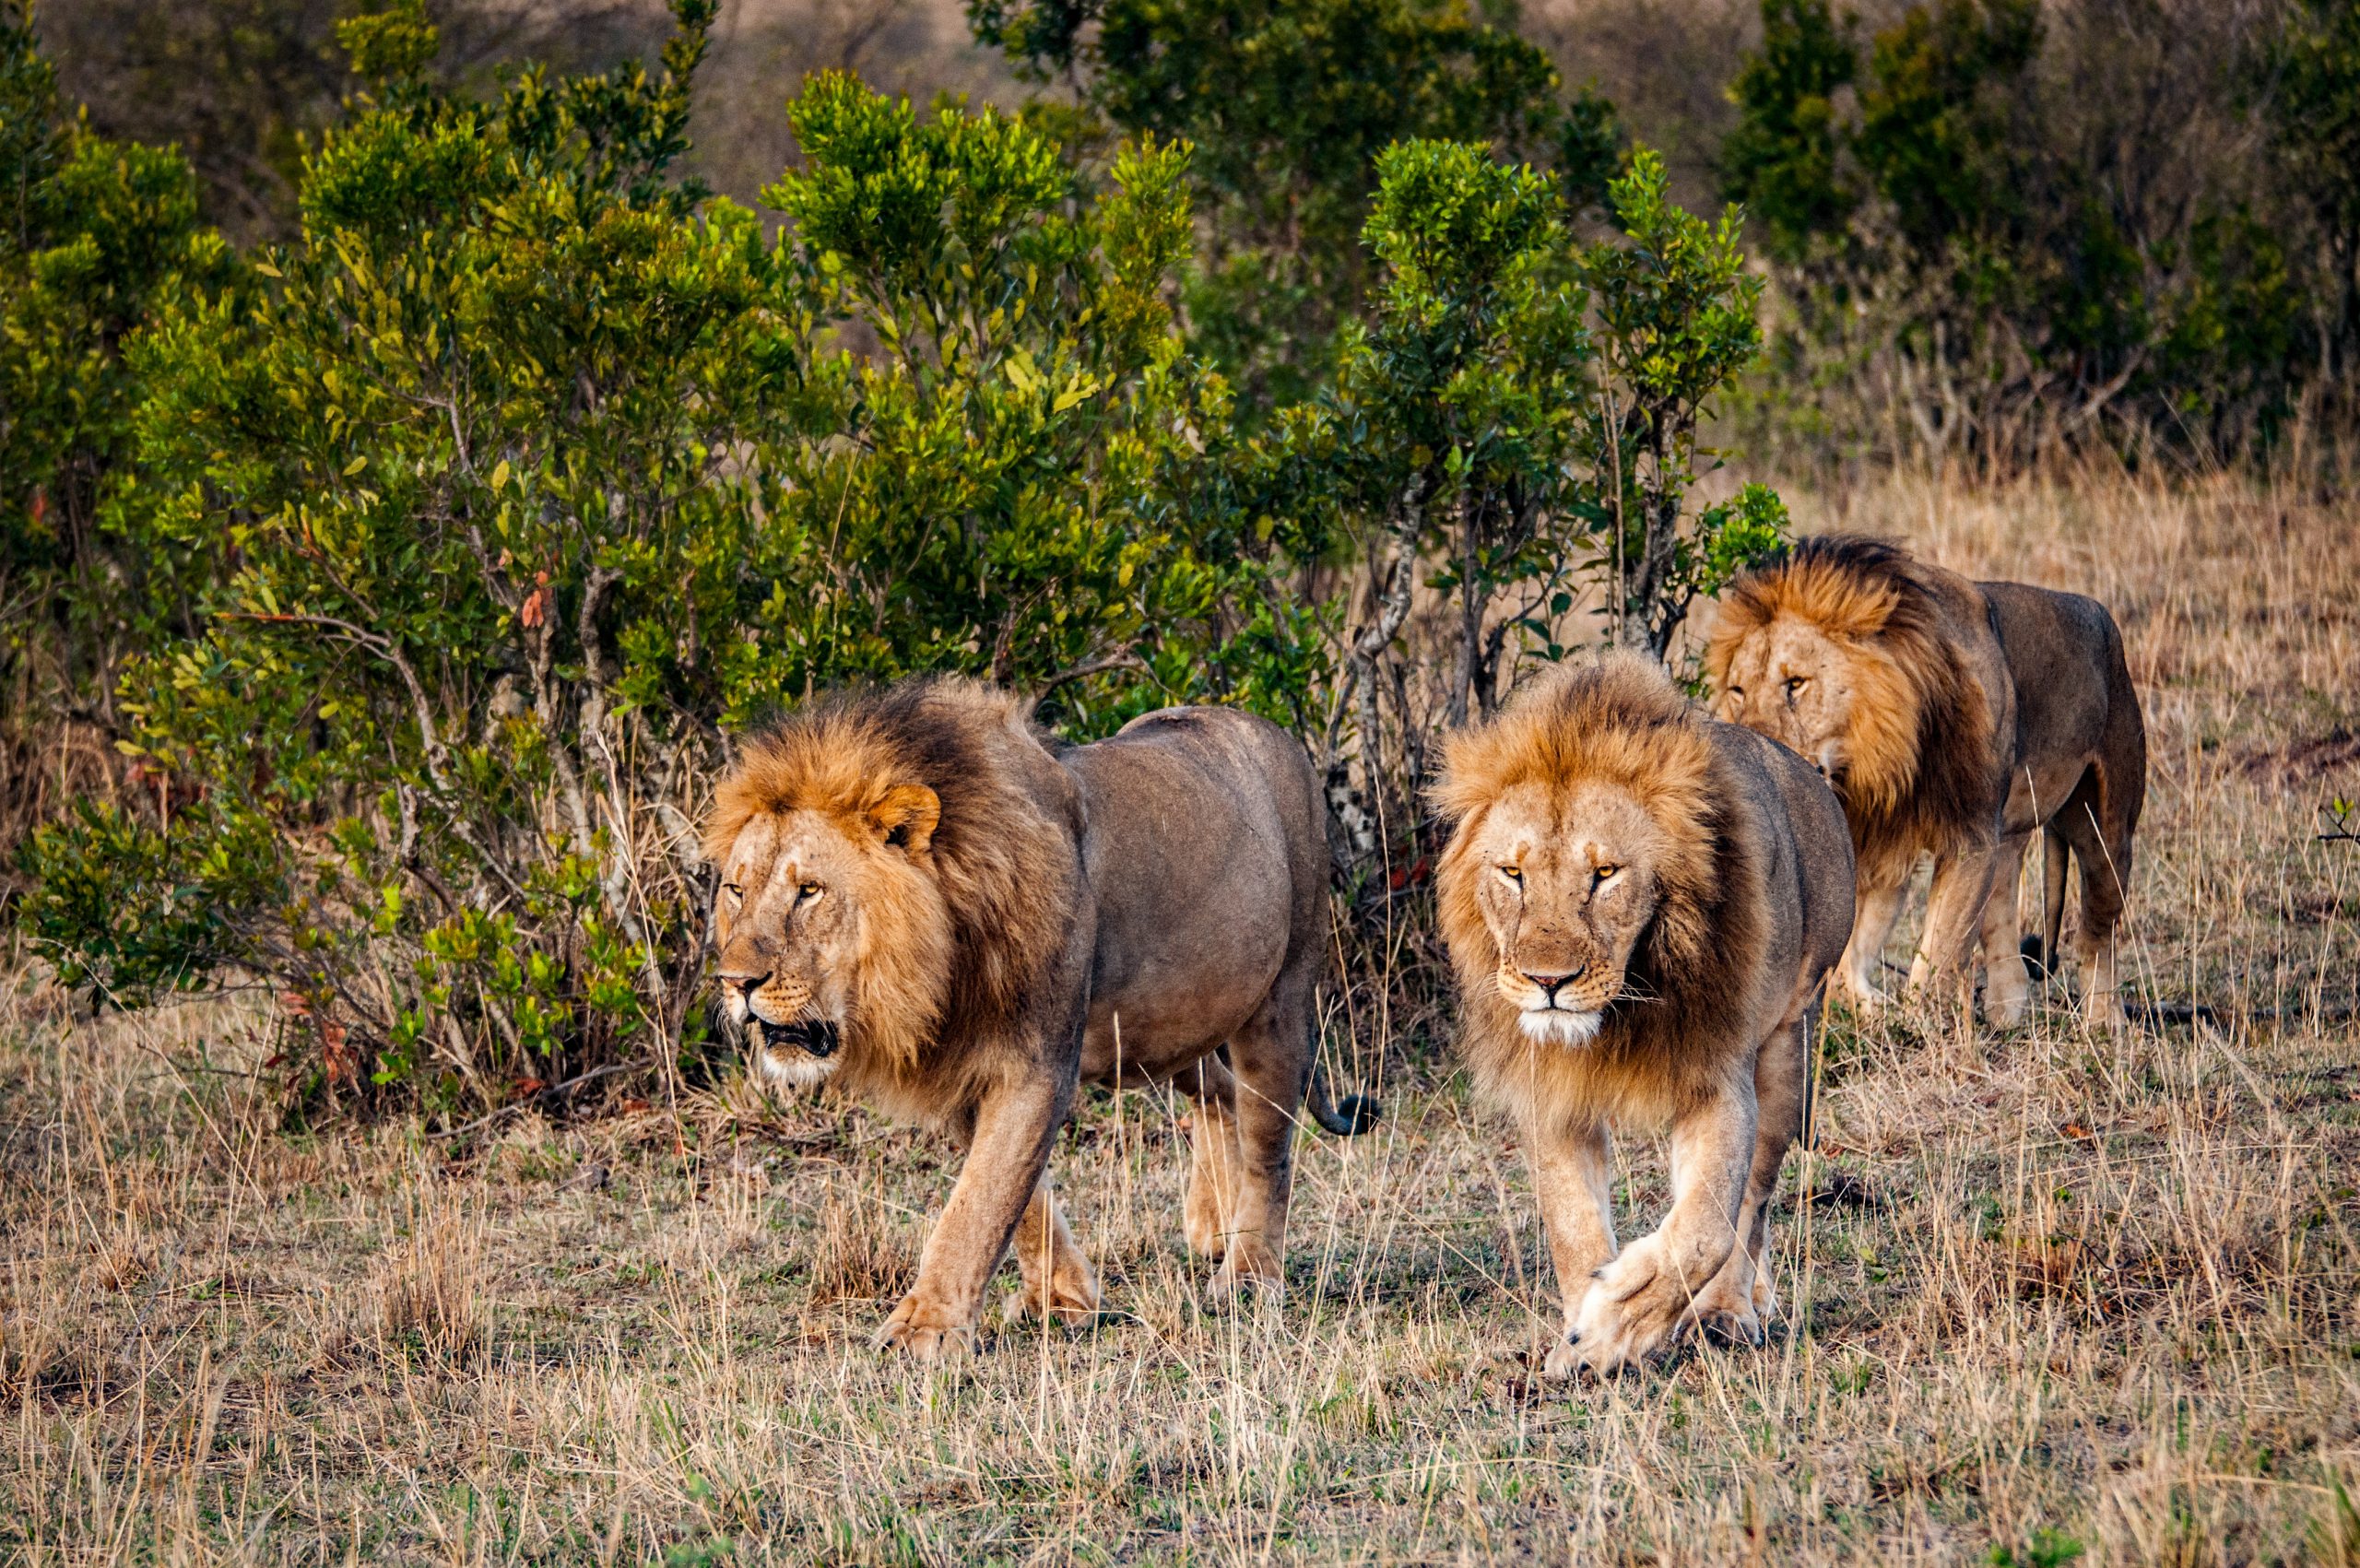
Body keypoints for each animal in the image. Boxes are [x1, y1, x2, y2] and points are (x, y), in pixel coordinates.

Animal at [698, 684, 1378, 1360]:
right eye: (736, 889)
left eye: (809, 890)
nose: (734, 982)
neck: (950, 938)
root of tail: (1275, 733)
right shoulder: (963, 1061)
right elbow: (1018, 1199)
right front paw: (1063, 1300)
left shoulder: (1037, 1060)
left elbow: (983, 1198)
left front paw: (925, 1330)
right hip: (1168, 1030)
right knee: (1220, 1093)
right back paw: (1213, 1227)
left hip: (1281, 995)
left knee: (1271, 1141)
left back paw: (1247, 1275)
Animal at [1425, 646, 1850, 1369]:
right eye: (1512, 874)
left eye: (1605, 874)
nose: (1548, 981)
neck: (1620, 1011)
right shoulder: (1552, 1090)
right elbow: (1571, 1222)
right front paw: (1582, 1341)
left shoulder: (1717, 1076)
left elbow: (1705, 1228)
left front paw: (1610, 1326)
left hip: (1789, 1039)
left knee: (1754, 1200)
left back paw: (1728, 1311)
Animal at [1708, 533, 2152, 1034]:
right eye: (1738, 691)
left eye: (1796, 683)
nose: (1750, 752)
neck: (1875, 758)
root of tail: (2102, 619)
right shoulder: (1881, 840)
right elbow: (1851, 953)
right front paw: (1864, 1011)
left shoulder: (1972, 832)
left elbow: (1941, 950)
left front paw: (1916, 1025)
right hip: (2011, 837)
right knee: (2001, 918)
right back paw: (2005, 1014)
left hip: (2106, 826)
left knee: (2099, 931)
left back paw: (2103, 1019)